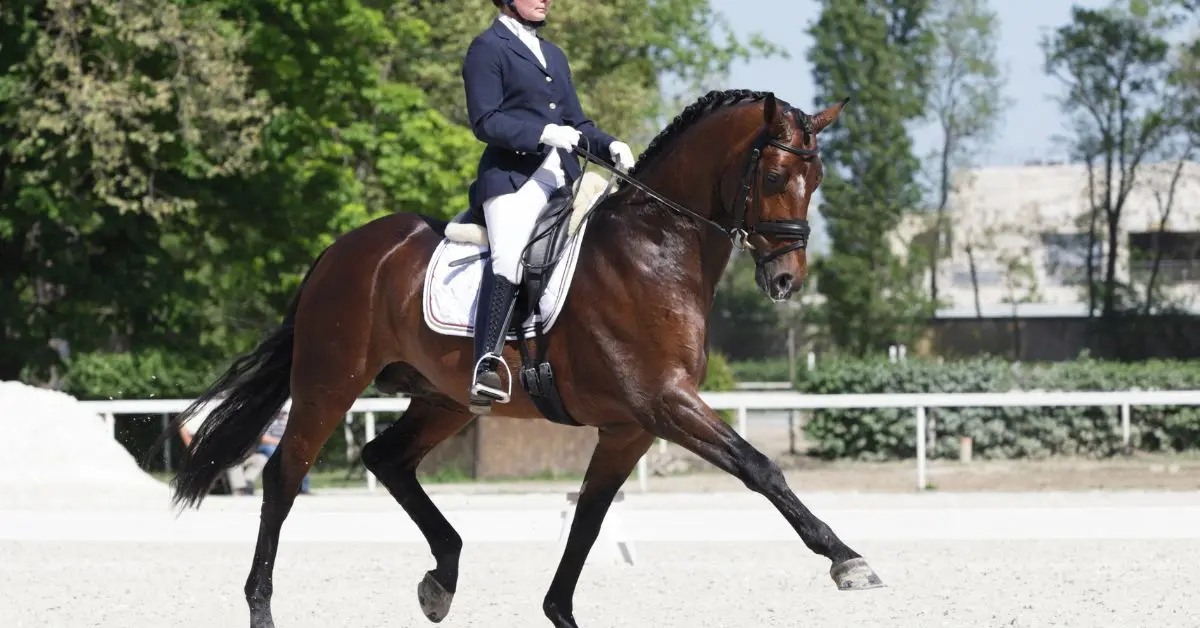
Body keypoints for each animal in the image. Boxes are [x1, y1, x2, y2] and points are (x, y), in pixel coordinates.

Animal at [148, 88, 883, 628]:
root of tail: (341, 250)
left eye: (817, 179)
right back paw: (263, 608)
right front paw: (847, 560)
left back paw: (442, 576)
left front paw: (558, 610)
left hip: (443, 398)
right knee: (284, 477)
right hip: (330, 383)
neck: (655, 250)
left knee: (385, 458)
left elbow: (588, 522)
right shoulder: (665, 404)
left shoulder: (630, 428)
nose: (786, 280)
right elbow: (760, 467)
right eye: (778, 174)